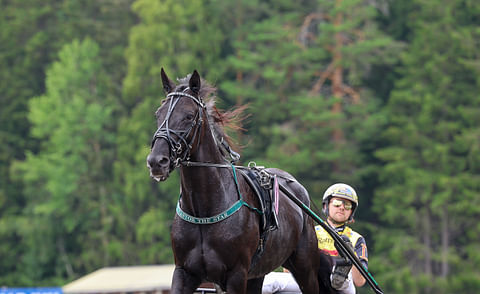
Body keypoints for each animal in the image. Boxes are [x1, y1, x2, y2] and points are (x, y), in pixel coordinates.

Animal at [146, 69, 334, 294]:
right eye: (158, 114)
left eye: (188, 116)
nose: (157, 161)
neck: (204, 210)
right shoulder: (184, 272)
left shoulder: (237, 274)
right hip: (259, 273)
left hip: (304, 266)